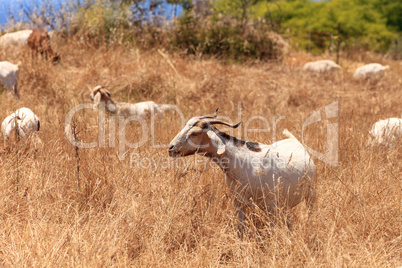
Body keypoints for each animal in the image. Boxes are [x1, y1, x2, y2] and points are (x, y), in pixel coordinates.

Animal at [168, 109, 316, 239]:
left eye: (194, 133)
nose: (171, 148)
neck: (242, 162)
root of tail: (296, 142)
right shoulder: (238, 202)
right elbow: (241, 229)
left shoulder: (271, 205)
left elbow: (272, 229)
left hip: (310, 196)